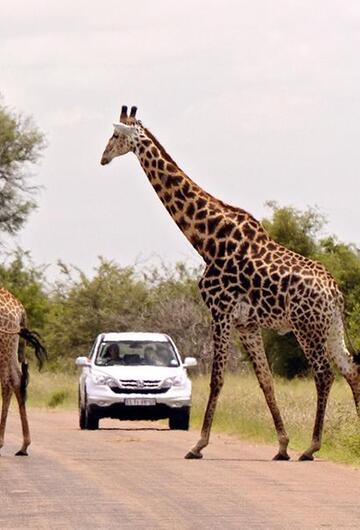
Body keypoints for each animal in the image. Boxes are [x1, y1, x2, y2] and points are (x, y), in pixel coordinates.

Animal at [0, 286, 47, 452]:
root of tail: (20, 309)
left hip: (4, 343)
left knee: (8, 382)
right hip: (11, 344)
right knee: (16, 379)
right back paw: (23, 446)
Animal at [100, 105, 360, 460]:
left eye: (114, 135)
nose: (103, 158)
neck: (207, 239)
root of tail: (335, 292)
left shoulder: (220, 311)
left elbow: (216, 379)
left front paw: (198, 444)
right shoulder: (246, 323)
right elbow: (265, 380)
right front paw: (282, 445)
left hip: (306, 327)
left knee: (325, 374)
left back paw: (311, 447)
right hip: (330, 327)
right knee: (351, 369)